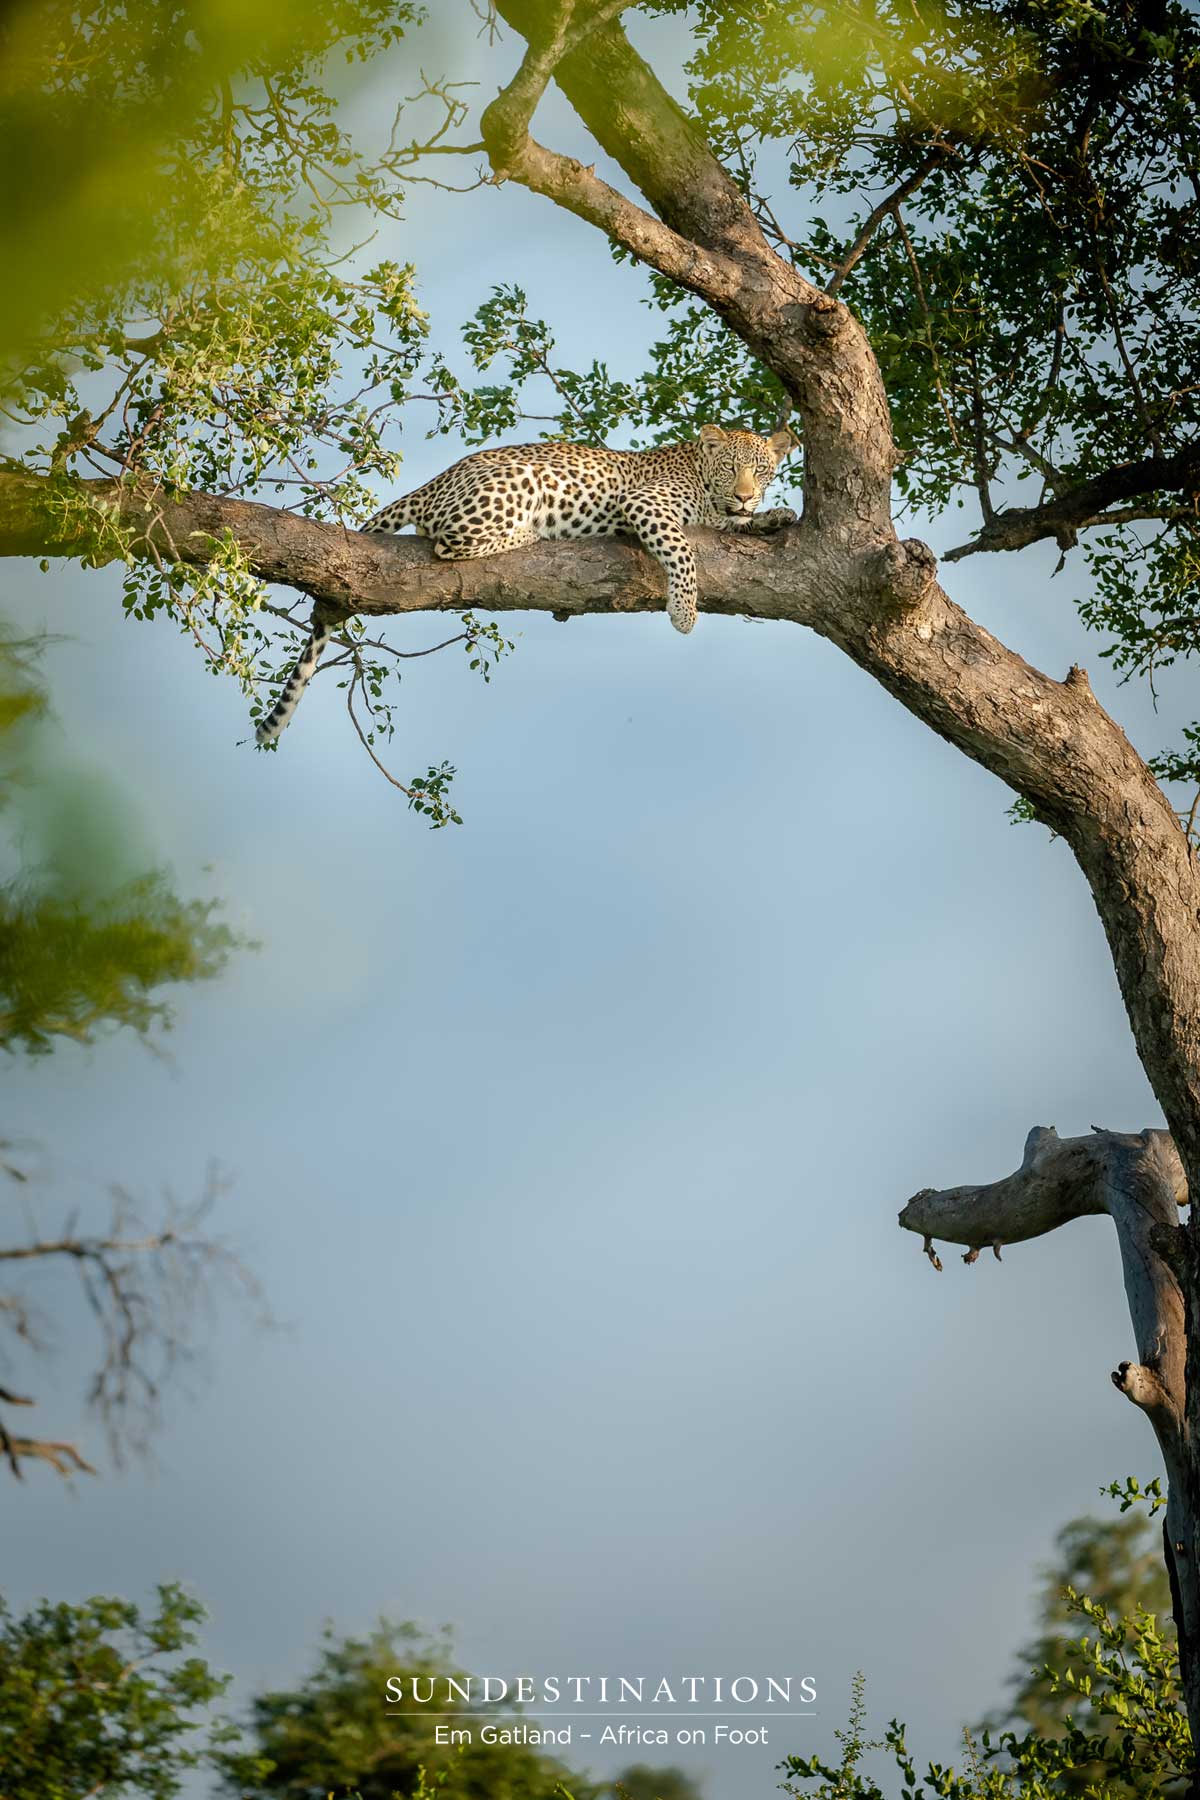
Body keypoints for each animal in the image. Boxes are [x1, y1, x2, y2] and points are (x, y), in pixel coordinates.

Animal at [254, 422, 798, 746]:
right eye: (730, 468)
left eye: (761, 470)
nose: (745, 495)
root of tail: (436, 482)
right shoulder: (647, 503)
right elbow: (682, 551)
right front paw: (684, 612)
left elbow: (738, 524)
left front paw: (774, 515)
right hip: (516, 483)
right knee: (445, 541)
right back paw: (531, 532)